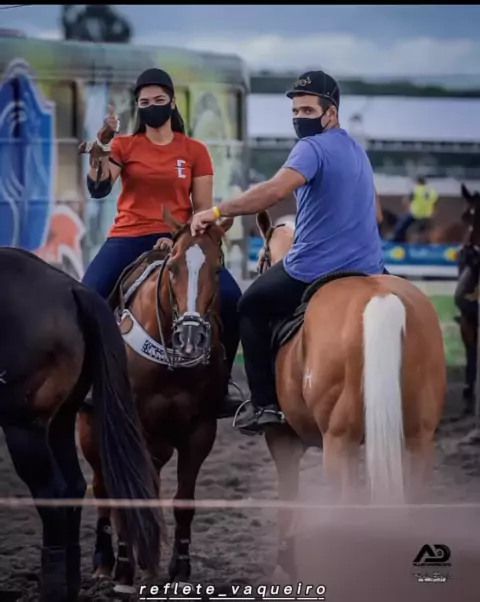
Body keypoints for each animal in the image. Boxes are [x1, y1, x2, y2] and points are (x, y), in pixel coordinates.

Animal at [0, 247, 161, 602]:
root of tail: (71, 290)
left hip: (25, 426)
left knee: (53, 493)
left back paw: (53, 588)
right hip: (61, 421)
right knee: (73, 488)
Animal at [78, 208, 234, 593]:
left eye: (217, 269)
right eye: (174, 267)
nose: (190, 338)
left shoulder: (200, 431)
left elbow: (183, 501)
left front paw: (179, 568)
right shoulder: (128, 427)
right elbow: (126, 495)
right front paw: (122, 571)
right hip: (92, 431)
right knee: (103, 487)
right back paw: (105, 564)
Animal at [253, 211, 446, 580]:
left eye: (261, 259)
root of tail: (380, 298)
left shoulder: (283, 441)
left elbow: (288, 499)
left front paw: (288, 563)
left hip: (337, 443)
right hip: (417, 440)